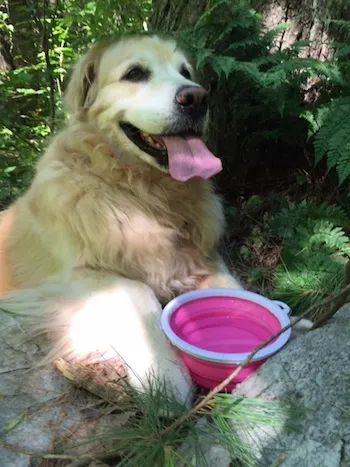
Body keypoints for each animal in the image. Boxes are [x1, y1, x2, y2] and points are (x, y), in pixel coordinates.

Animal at [0, 34, 242, 404]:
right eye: (135, 73)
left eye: (185, 72)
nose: (197, 98)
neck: (138, 191)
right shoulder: (65, 279)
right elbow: (137, 290)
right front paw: (166, 374)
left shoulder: (201, 256)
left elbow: (230, 289)